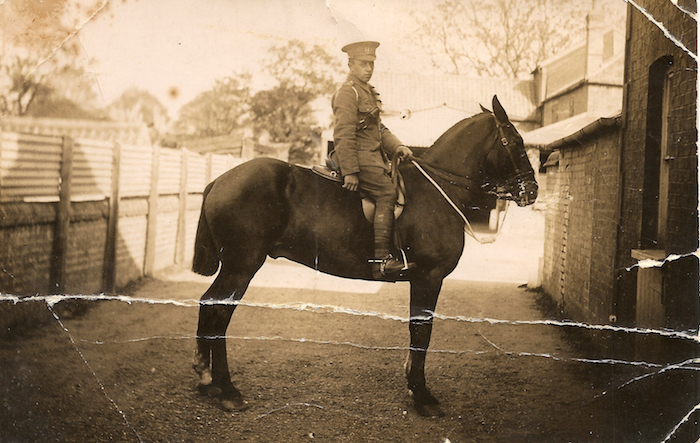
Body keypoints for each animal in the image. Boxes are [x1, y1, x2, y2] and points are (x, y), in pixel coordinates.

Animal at [191, 95, 538, 416]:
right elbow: (421, 332)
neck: (437, 189)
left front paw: (413, 386)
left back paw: (206, 379)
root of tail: (220, 180)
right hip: (242, 267)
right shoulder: (429, 278)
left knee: (208, 306)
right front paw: (423, 396)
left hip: (235, 268)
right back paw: (227, 390)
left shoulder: (422, 280)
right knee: (218, 313)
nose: (532, 191)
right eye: (516, 143)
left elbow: (415, 330)